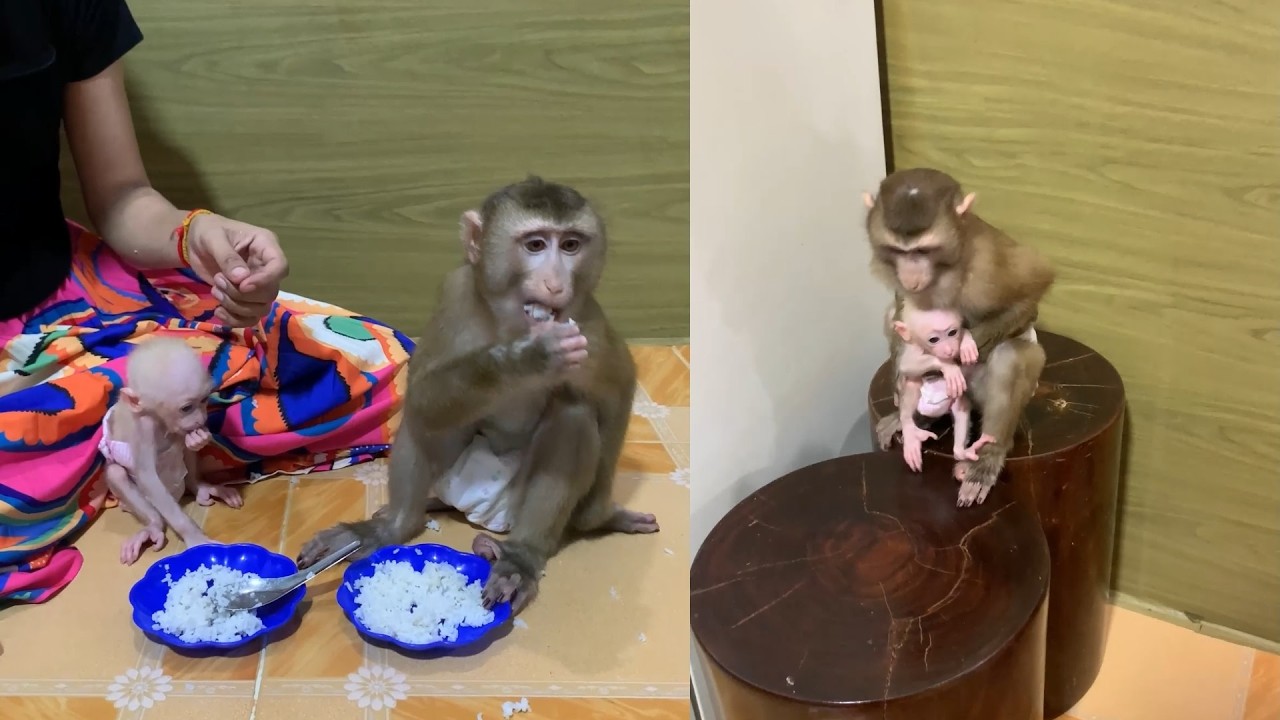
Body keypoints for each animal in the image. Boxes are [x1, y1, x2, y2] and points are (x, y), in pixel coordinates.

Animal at [99, 336, 241, 564]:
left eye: (204, 400)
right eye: (186, 408)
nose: (201, 419)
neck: (159, 420)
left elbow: (186, 442)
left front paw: (198, 439)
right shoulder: (143, 429)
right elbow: (148, 477)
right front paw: (195, 538)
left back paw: (200, 486)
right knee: (117, 473)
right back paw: (153, 526)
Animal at [296, 176, 659, 612]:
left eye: (571, 245)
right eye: (535, 245)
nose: (555, 283)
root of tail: (481, 513)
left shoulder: (589, 324)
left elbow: (619, 389)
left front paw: (597, 516)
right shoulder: (456, 295)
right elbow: (424, 392)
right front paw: (526, 358)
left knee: (572, 412)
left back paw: (521, 555)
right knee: (425, 419)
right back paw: (393, 526)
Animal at [891, 300, 996, 474]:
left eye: (952, 332)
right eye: (934, 339)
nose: (948, 350)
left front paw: (966, 342)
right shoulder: (913, 347)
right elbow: (907, 364)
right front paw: (949, 368)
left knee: (960, 403)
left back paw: (961, 451)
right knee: (913, 381)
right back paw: (911, 432)